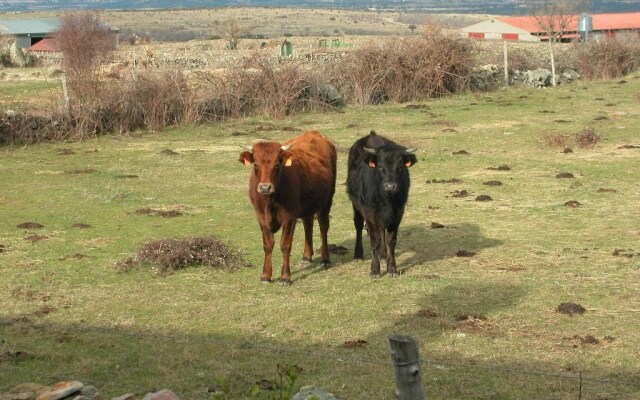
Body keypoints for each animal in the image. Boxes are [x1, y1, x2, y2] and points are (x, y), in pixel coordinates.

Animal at [238, 131, 338, 284]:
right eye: (255, 164)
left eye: (277, 164)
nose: (265, 187)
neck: (270, 201)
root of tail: (313, 133)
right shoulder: (260, 217)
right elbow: (268, 245)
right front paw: (265, 275)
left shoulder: (289, 217)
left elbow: (285, 245)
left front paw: (285, 277)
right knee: (308, 225)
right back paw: (306, 256)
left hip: (327, 200)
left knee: (323, 227)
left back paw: (325, 259)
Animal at [348, 131, 418, 278]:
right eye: (380, 167)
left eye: (400, 166)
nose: (390, 186)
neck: (386, 199)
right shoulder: (369, 213)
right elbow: (375, 240)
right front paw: (375, 270)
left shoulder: (397, 213)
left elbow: (390, 241)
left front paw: (392, 269)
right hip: (356, 205)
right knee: (358, 225)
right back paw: (358, 254)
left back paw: (383, 254)